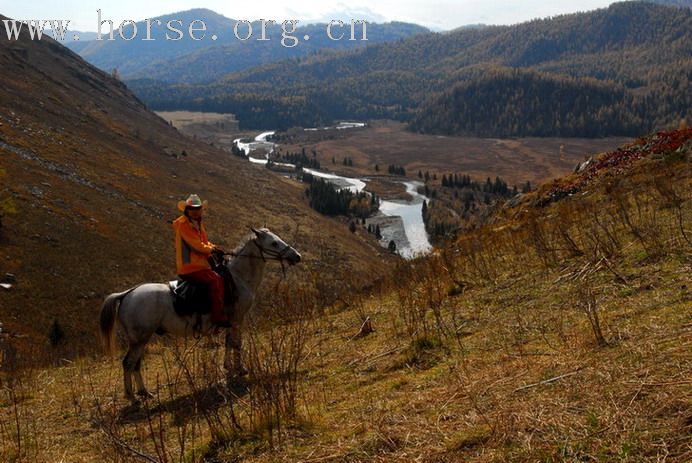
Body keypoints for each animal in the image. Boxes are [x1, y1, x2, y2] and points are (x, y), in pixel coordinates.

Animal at [99, 228, 300, 402]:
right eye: (274, 243)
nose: (296, 256)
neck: (238, 278)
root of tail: (126, 294)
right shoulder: (237, 320)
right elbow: (236, 344)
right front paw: (241, 369)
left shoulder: (231, 321)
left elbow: (228, 343)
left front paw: (229, 367)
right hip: (140, 339)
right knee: (128, 363)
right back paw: (132, 397)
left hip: (140, 340)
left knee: (136, 364)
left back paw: (144, 392)